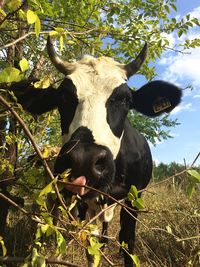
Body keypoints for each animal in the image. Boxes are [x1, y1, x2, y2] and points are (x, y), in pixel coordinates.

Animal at [10, 36, 181, 267]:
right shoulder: (82, 199)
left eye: (125, 99)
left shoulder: (134, 197)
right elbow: (91, 246)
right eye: (63, 97)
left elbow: (127, 242)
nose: (84, 159)